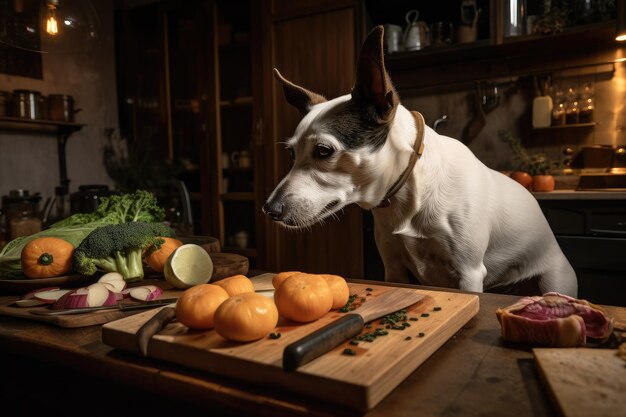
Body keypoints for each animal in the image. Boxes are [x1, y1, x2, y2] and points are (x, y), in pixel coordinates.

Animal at [260, 25, 576, 296]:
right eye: (291, 154)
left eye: (324, 151)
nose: (269, 210)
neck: (408, 192)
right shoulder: (393, 267)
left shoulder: (470, 272)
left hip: (555, 281)